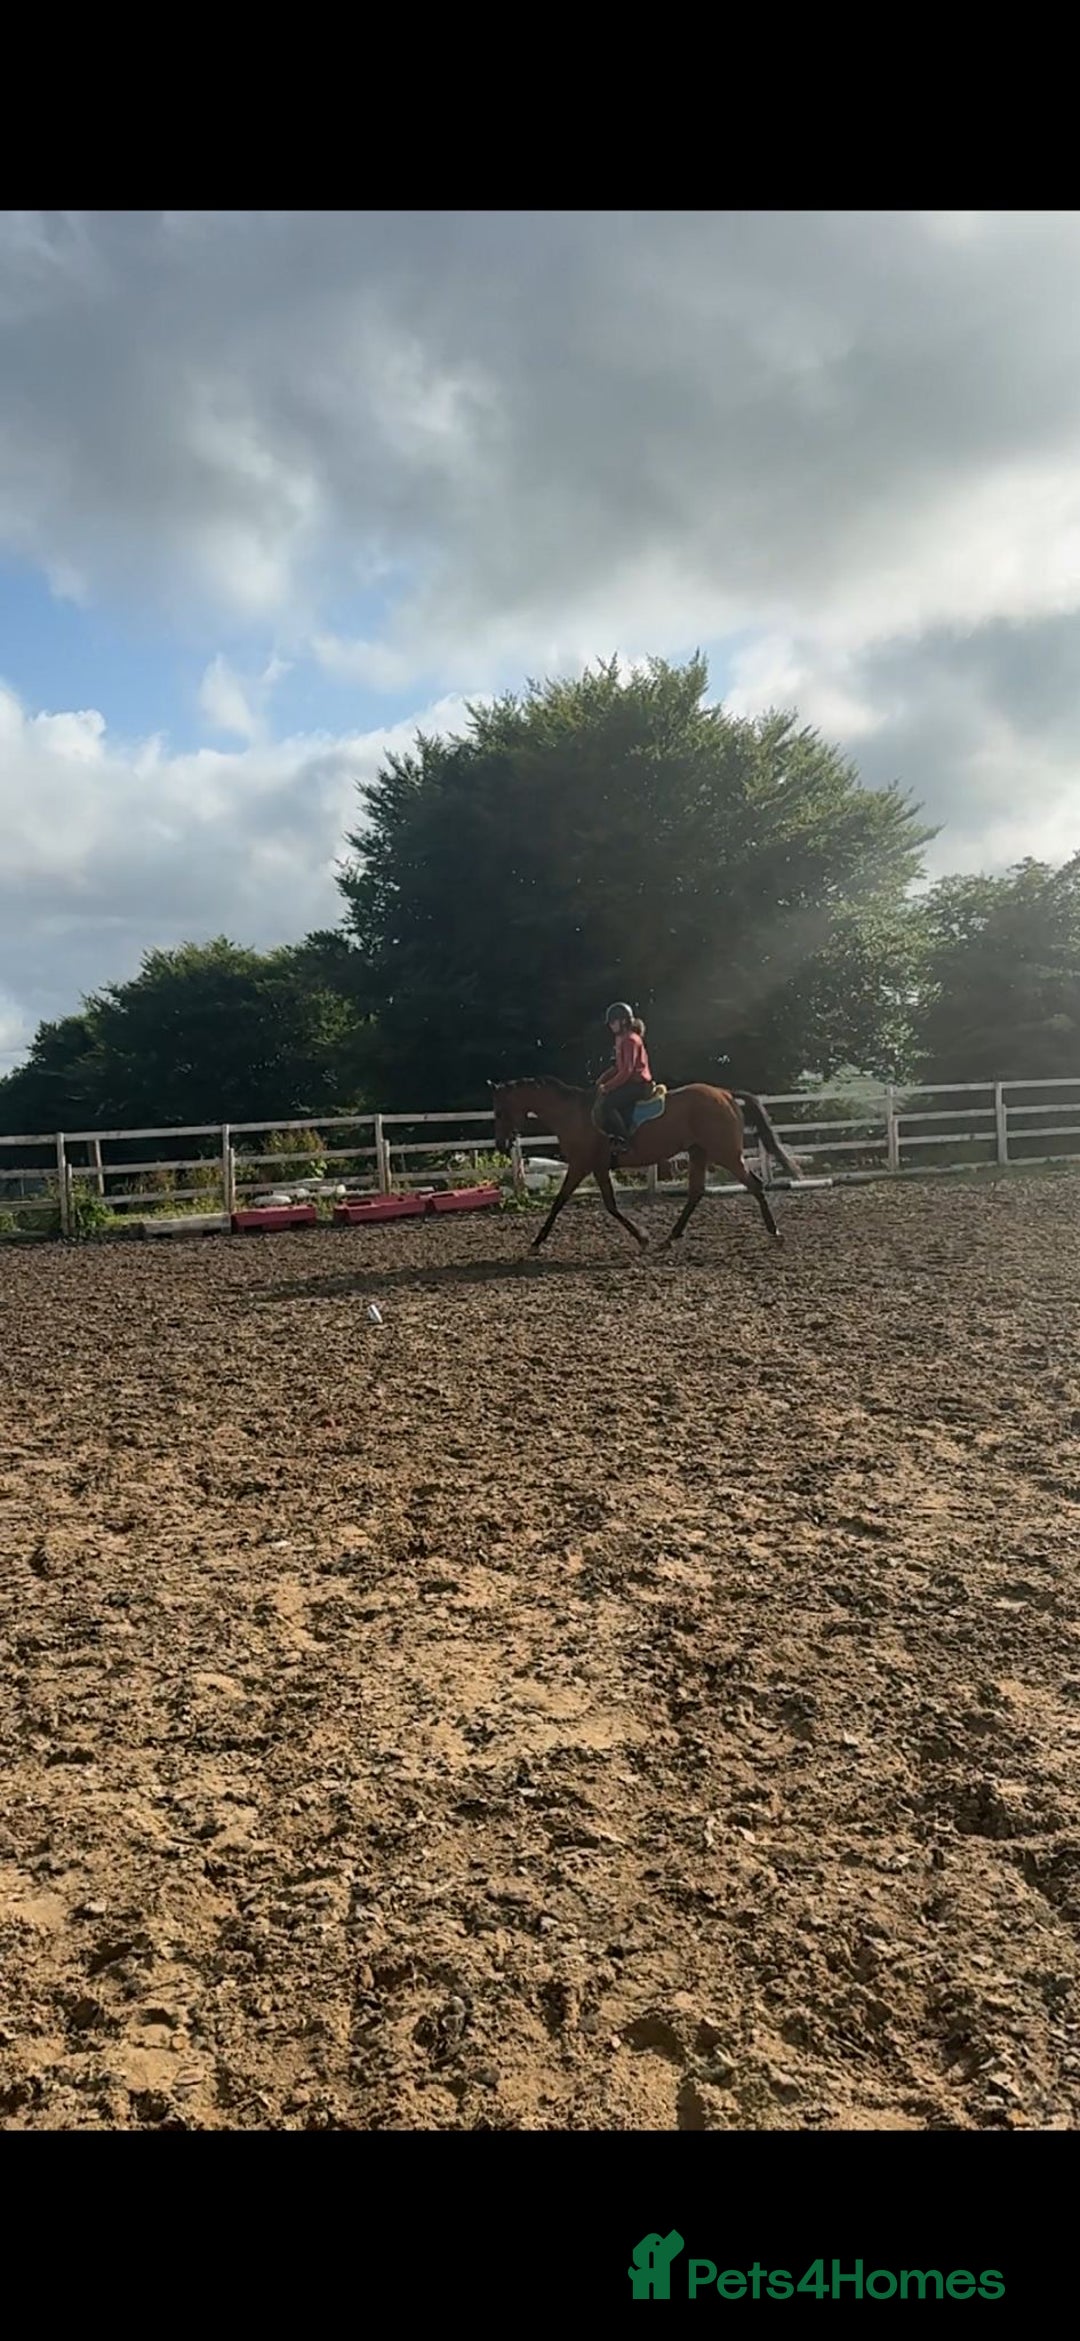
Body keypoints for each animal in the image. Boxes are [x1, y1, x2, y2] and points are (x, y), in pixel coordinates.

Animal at [491, 1077, 802, 1253]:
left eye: (500, 1111)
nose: (502, 1144)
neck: (572, 1113)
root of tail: (725, 1093)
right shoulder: (595, 1167)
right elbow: (606, 1204)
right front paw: (643, 1237)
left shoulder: (582, 1165)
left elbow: (564, 1202)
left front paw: (536, 1243)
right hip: (699, 1152)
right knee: (696, 1192)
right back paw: (670, 1238)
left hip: (724, 1152)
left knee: (754, 1185)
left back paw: (775, 1234)